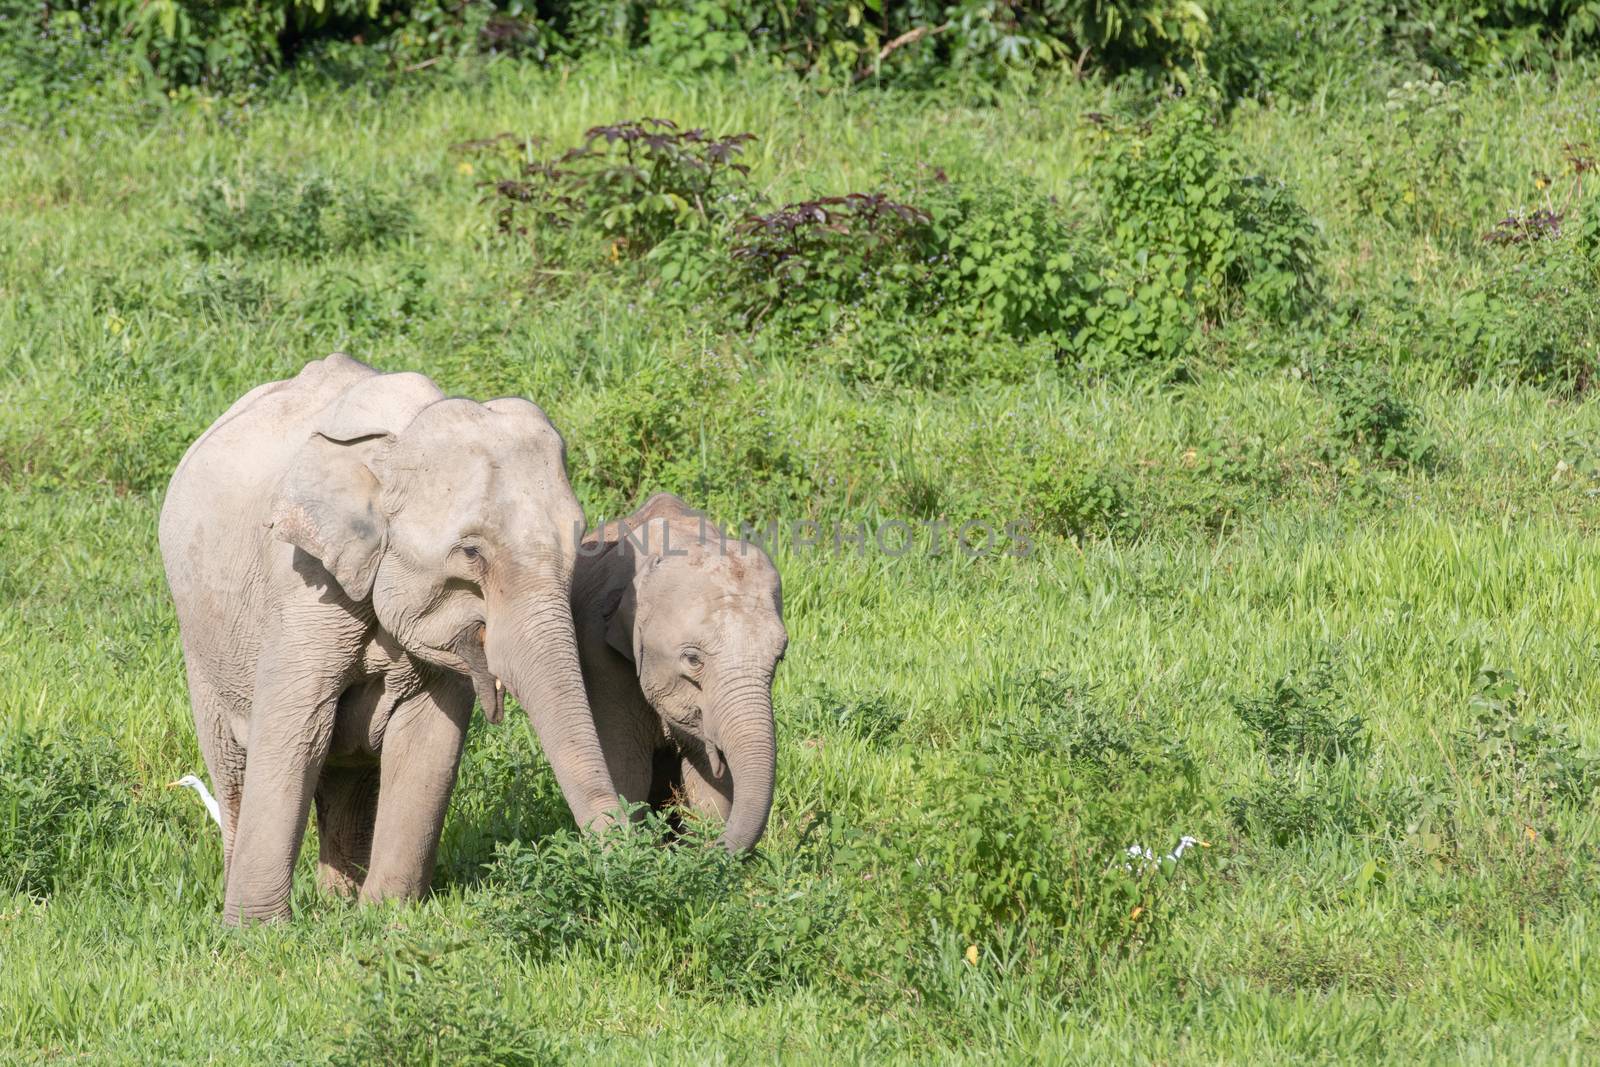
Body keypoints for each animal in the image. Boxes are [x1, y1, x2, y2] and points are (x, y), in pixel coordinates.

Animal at [157, 355, 617, 921]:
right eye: (471, 553)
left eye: (579, 541)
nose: (633, 855)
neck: (399, 441)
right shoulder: (304, 582)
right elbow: (297, 730)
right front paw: (256, 932)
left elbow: (426, 740)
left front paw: (386, 920)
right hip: (200, 640)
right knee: (235, 764)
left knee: (351, 773)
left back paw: (338, 903)